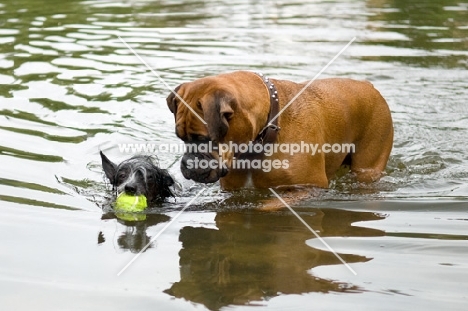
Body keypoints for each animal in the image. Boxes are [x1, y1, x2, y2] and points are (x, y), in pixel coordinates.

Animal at [166, 71, 394, 191]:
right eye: (181, 138)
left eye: (204, 139)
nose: (187, 162)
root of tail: (369, 86)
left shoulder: (308, 188)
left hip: (368, 167)